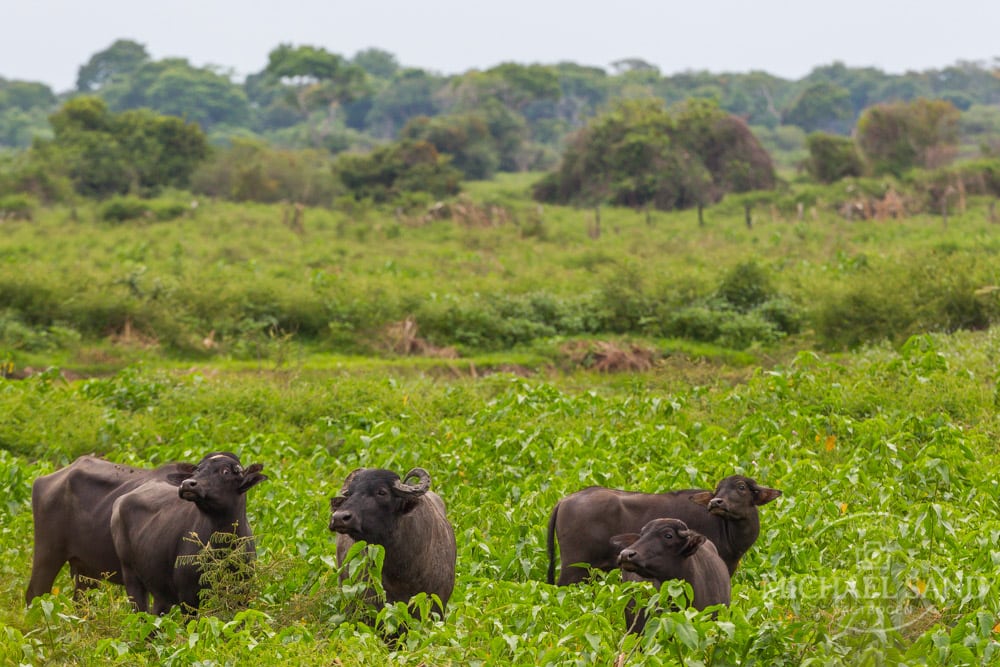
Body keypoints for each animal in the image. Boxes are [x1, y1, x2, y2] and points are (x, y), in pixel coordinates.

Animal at [110, 452, 267, 614]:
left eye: (226, 471)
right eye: (197, 469)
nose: (187, 484)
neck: (222, 548)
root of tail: (120, 501)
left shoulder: (241, 594)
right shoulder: (188, 597)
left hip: (160, 592)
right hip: (131, 578)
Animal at [547, 475, 781, 585]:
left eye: (741, 487)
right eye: (718, 489)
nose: (716, 502)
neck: (726, 530)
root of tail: (565, 500)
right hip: (575, 568)